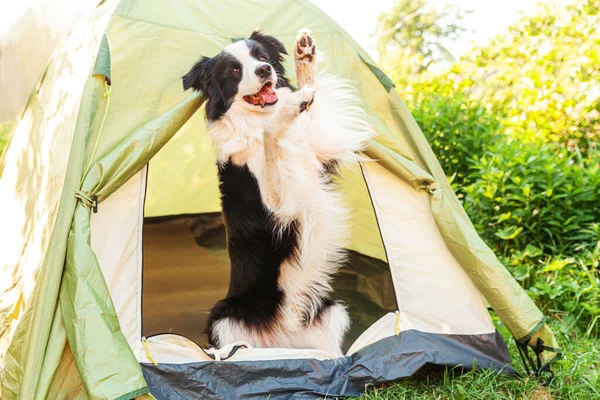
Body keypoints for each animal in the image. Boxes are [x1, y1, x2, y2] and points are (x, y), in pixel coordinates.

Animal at [180, 28, 372, 354]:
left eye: (261, 56)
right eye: (233, 71)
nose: (264, 70)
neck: (254, 120)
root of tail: (283, 337)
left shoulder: (320, 150)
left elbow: (314, 107)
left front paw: (304, 56)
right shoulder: (275, 209)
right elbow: (272, 133)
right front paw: (289, 107)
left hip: (331, 310)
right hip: (224, 317)